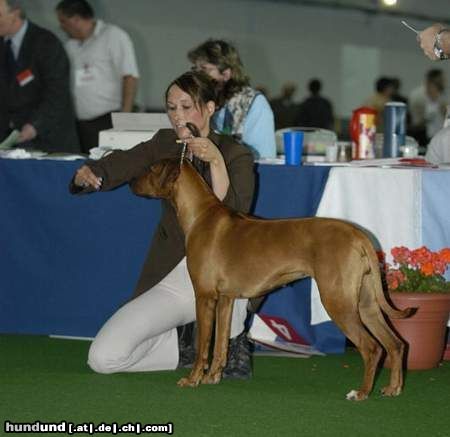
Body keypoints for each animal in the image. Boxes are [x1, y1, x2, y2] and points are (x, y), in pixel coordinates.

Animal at [130, 158, 414, 400]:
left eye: (152, 168)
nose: (131, 182)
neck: (201, 215)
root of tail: (359, 235)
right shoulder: (226, 300)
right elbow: (221, 344)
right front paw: (213, 377)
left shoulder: (205, 297)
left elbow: (204, 346)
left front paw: (193, 379)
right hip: (365, 303)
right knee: (396, 343)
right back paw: (393, 388)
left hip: (338, 301)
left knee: (372, 348)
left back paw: (362, 392)